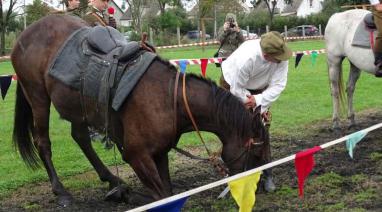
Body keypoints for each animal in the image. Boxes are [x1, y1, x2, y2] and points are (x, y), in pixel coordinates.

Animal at [11, 14, 268, 207]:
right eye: (256, 153)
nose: (256, 189)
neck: (170, 99)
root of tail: (25, 34)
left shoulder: (160, 153)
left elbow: (168, 193)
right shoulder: (137, 156)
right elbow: (162, 196)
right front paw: (130, 196)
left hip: (78, 107)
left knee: (81, 137)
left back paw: (111, 179)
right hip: (38, 98)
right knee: (43, 142)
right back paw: (62, 191)